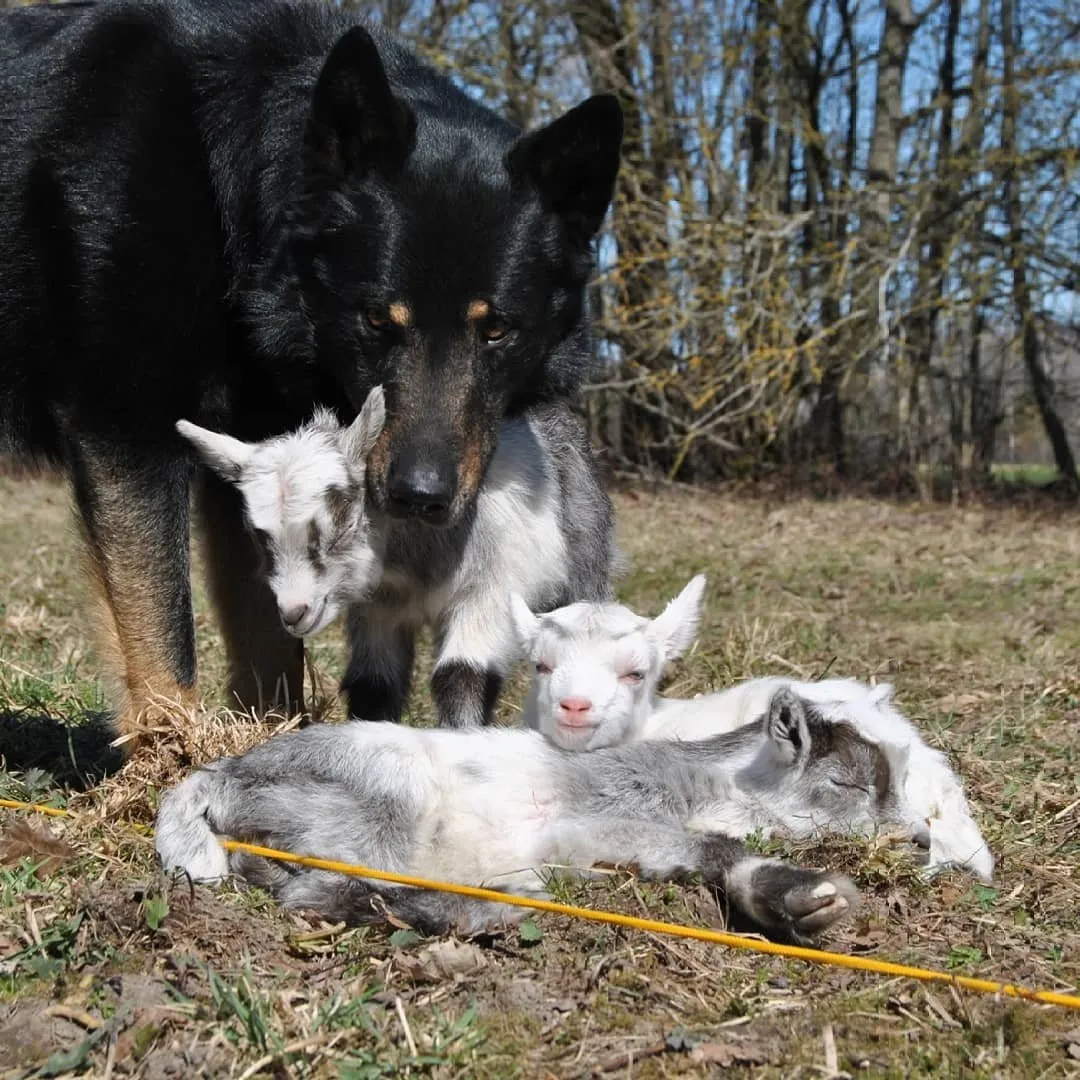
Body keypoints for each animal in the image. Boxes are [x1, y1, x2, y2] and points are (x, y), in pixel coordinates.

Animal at [154, 693, 862, 941]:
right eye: (846, 780)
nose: (891, 830)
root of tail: (220, 776)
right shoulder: (591, 822)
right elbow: (709, 846)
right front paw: (796, 894)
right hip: (380, 809)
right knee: (322, 894)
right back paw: (495, 909)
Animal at [176, 386, 616, 727]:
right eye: (258, 536)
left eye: (344, 516)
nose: (294, 611)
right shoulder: (378, 610)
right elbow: (374, 685)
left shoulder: (490, 590)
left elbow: (460, 677)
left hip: (587, 565)